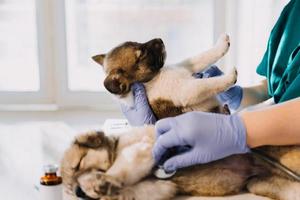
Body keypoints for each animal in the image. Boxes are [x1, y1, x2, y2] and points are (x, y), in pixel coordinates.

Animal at [61, 34, 300, 200]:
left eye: (139, 44)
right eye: (141, 53)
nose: (159, 38)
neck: (151, 80)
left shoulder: (186, 66)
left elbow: (203, 56)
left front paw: (221, 44)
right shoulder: (186, 91)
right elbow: (208, 84)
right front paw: (229, 76)